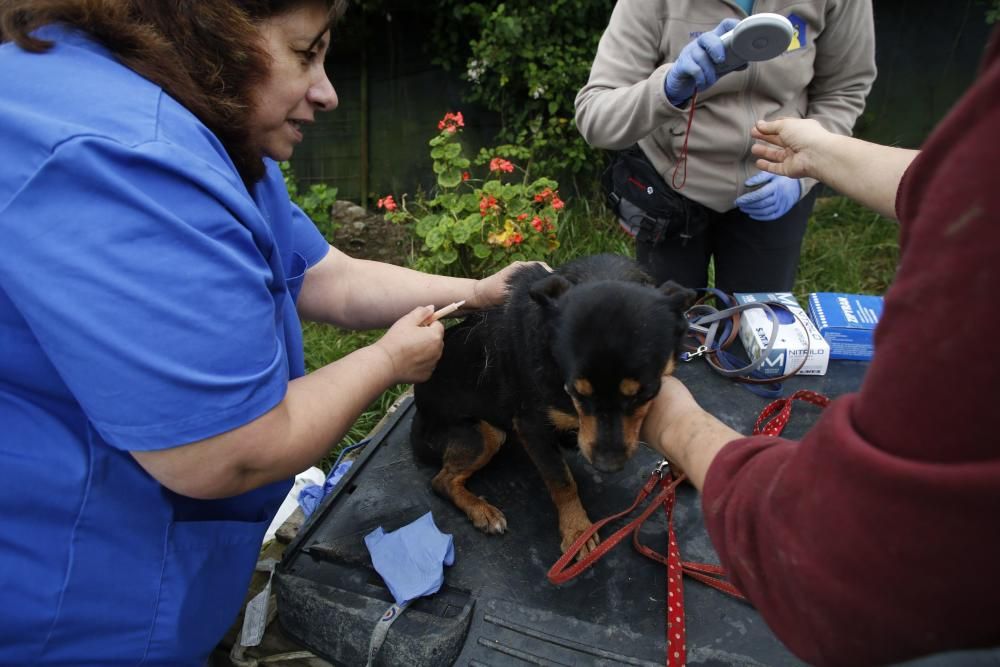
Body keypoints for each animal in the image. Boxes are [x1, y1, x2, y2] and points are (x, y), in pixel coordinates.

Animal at [410, 256, 692, 560]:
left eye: (649, 392)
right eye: (575, 391)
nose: (608, 466)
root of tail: (418, 419)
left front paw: (679, 463)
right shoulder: (532, 427)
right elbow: (562, 481)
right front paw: (577, 531)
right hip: (485, 434)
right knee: (441, 481)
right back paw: (482, 511)